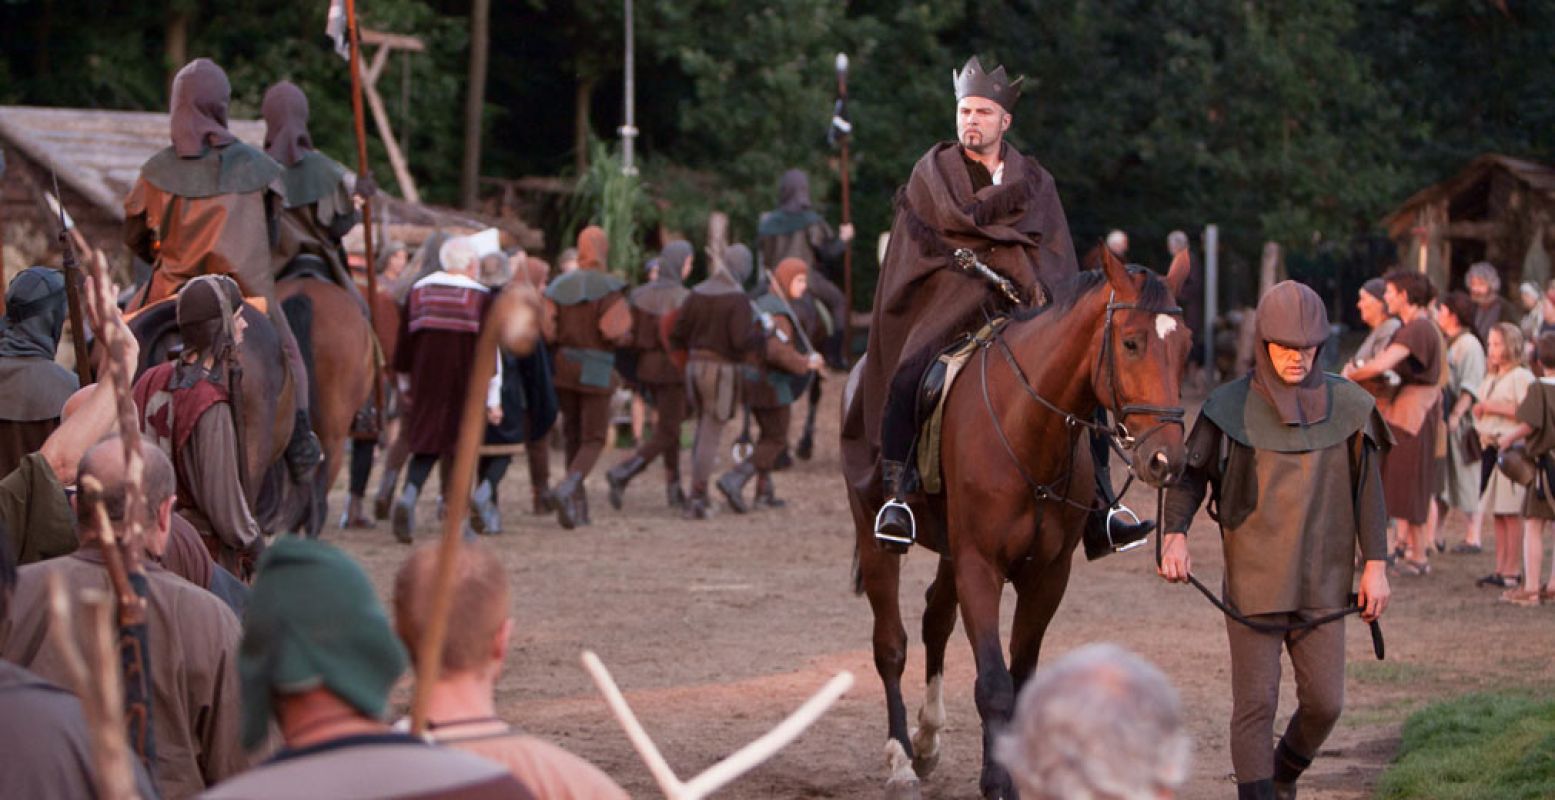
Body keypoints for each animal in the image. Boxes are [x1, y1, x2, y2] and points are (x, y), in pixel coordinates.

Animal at [852, 245, 1188, 793]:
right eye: (1132, 342)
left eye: (1186, 347)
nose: (1167, 460)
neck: (1027, 429)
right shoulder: (980, 565)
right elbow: (992, 683)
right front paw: (996, 782)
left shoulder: (1048, 574)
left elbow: (1021, 676)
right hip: (873, 532)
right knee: (891, 645)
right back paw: (901, 758)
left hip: (950, 550)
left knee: (935, 621)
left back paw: (926, 741)